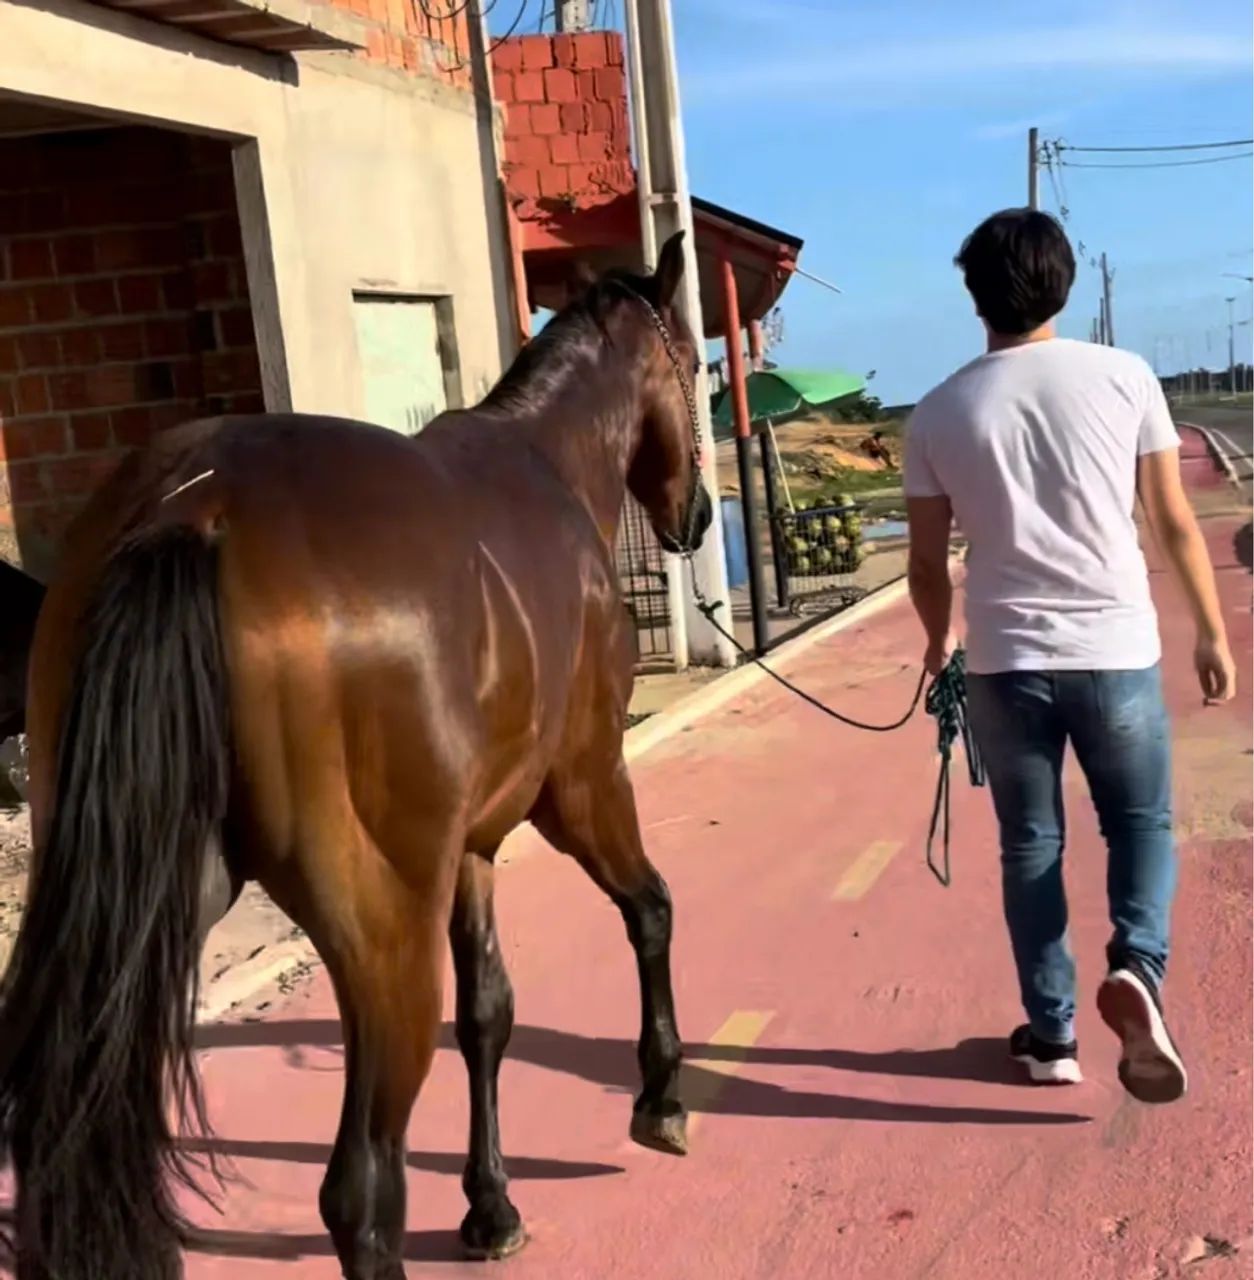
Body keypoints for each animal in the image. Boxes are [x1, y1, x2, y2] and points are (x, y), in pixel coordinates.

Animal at [0, 231, 712, 1280]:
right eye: (696, 365)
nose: (697, 517)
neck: (542, 461)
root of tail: (192, 513)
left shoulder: (472, 845)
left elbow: (489, 1012)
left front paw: (491, 1205)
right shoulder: (581, 788)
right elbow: (651, 908)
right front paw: (660, 1095)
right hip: (383, 936)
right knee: (363, 1191)